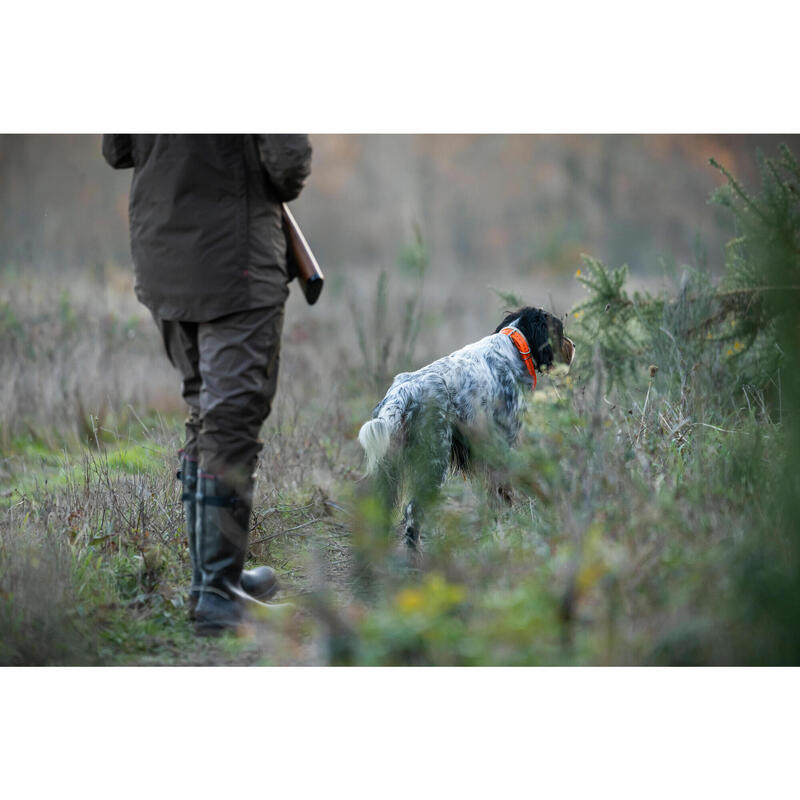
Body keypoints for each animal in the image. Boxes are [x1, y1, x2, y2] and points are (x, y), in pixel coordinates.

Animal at [358, 306, 576, 552]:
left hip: (391, 467)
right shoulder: (502, 445)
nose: (573, 346)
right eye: (560, 331)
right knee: (413, 513)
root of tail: (402, 392)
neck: (514, 347)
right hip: (434, 463)